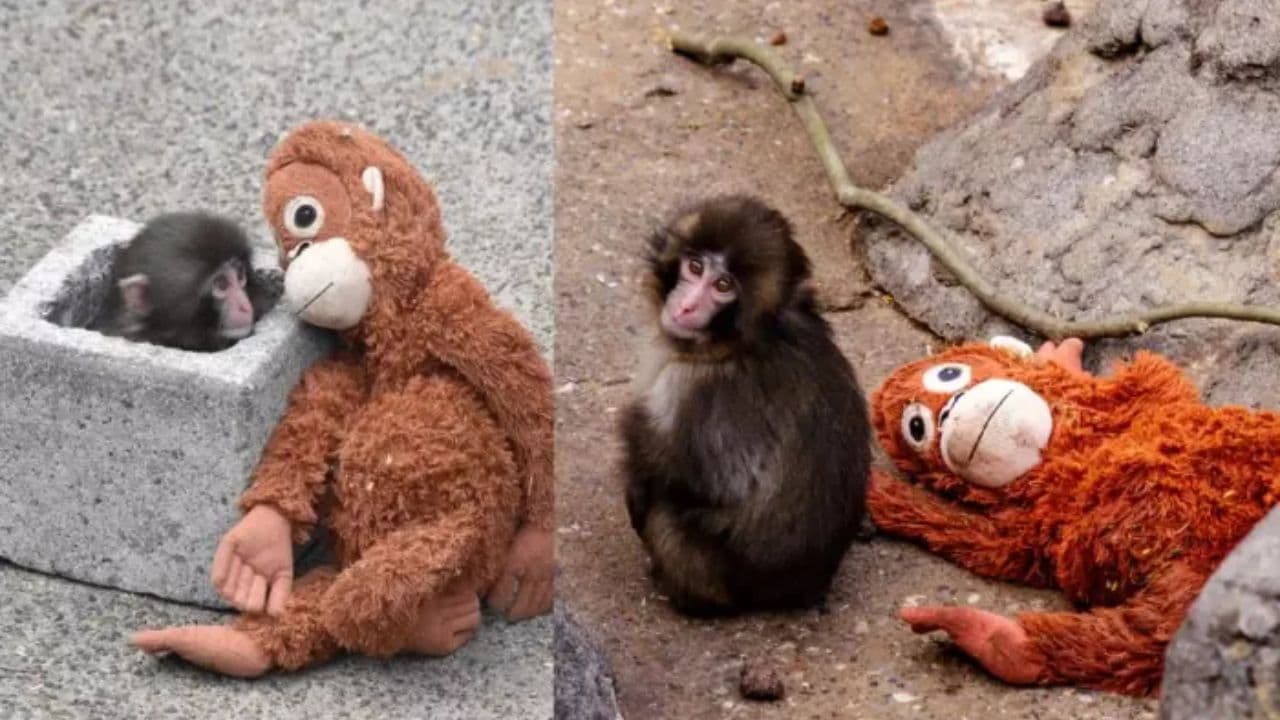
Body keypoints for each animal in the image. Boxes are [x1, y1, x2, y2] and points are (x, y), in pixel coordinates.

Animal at [621, 194, 872, 616]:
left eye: (723, 286)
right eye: (695, 266)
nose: (686, 307)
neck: (741, 342)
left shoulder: (696, 388)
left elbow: (710, 483)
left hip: (711, 576)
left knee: (666, 512)